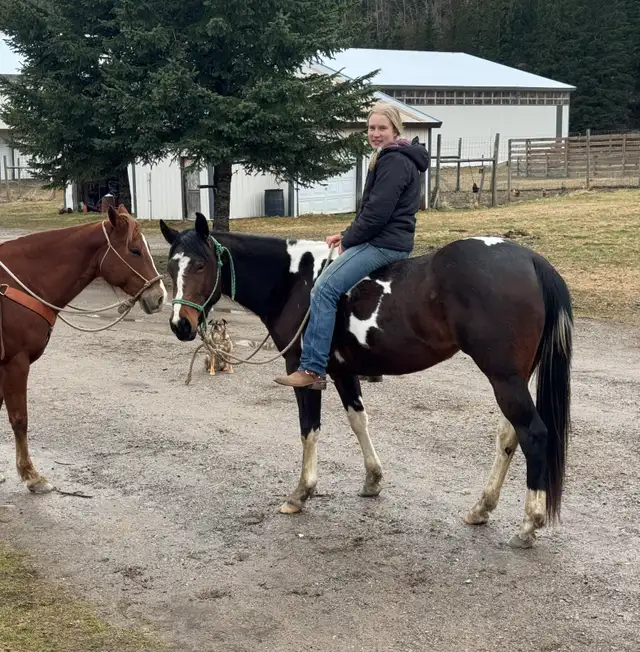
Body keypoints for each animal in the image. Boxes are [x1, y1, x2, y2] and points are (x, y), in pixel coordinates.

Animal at [0, 205, 166, 493]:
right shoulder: (15, 362)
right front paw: (32, 475)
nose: (159, 296)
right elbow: (20, 419)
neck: (20, 282)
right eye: (134, 250)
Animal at [160, 212, 572, 548]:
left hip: (504, 377)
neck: (296, 280)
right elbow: (358, 420)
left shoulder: (304, 371)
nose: (181, 325)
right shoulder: (343, 372)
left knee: (533, 434)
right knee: (509, 436)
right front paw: (373, 480)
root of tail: (532, 261)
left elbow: (309, 430)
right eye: (170, 267)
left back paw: (528, 524)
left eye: (201, 265)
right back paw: (482, 508)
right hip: (514, 378)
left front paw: (301, 493)